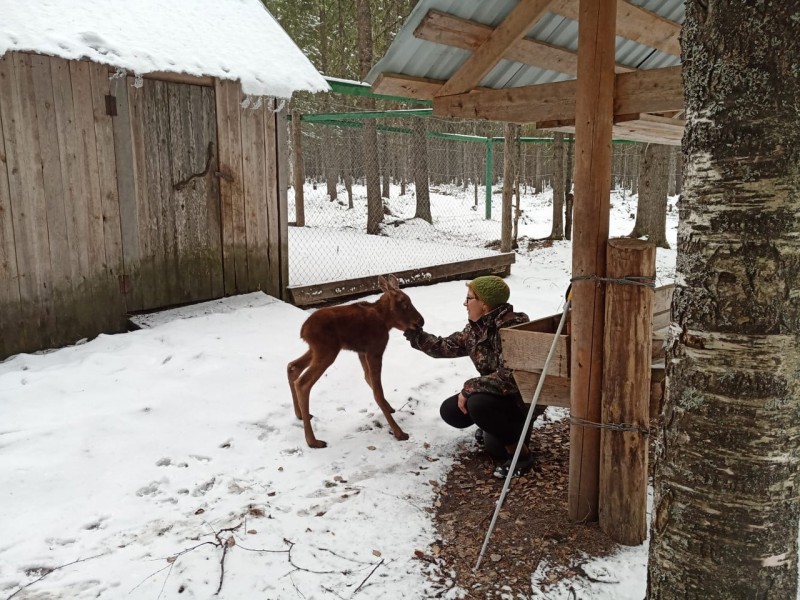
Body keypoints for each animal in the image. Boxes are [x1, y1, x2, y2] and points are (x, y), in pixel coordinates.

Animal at [288, 274, 424, 448]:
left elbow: (368, 379)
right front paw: (398, 432)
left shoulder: (361, 352)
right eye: (404, 304)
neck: (386, 321)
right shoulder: (375, 350)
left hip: (316, 350)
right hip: (326, 351)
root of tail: (303, 331)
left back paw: (299, 415)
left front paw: (389, 407)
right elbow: (377, 391)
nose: (421, 321)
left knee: (293, 366)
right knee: (303, 383)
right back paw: (312, 441)